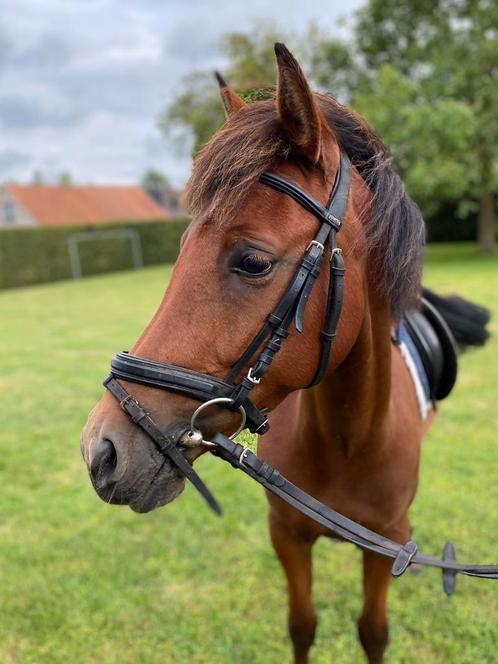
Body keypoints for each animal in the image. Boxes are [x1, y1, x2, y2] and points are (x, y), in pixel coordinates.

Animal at [80, 44, 486, 660]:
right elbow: (302, 626)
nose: (101, 452)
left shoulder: (385, 546)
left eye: (253, 261)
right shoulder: (287, 535)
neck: (347, 439)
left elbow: (373, 632)